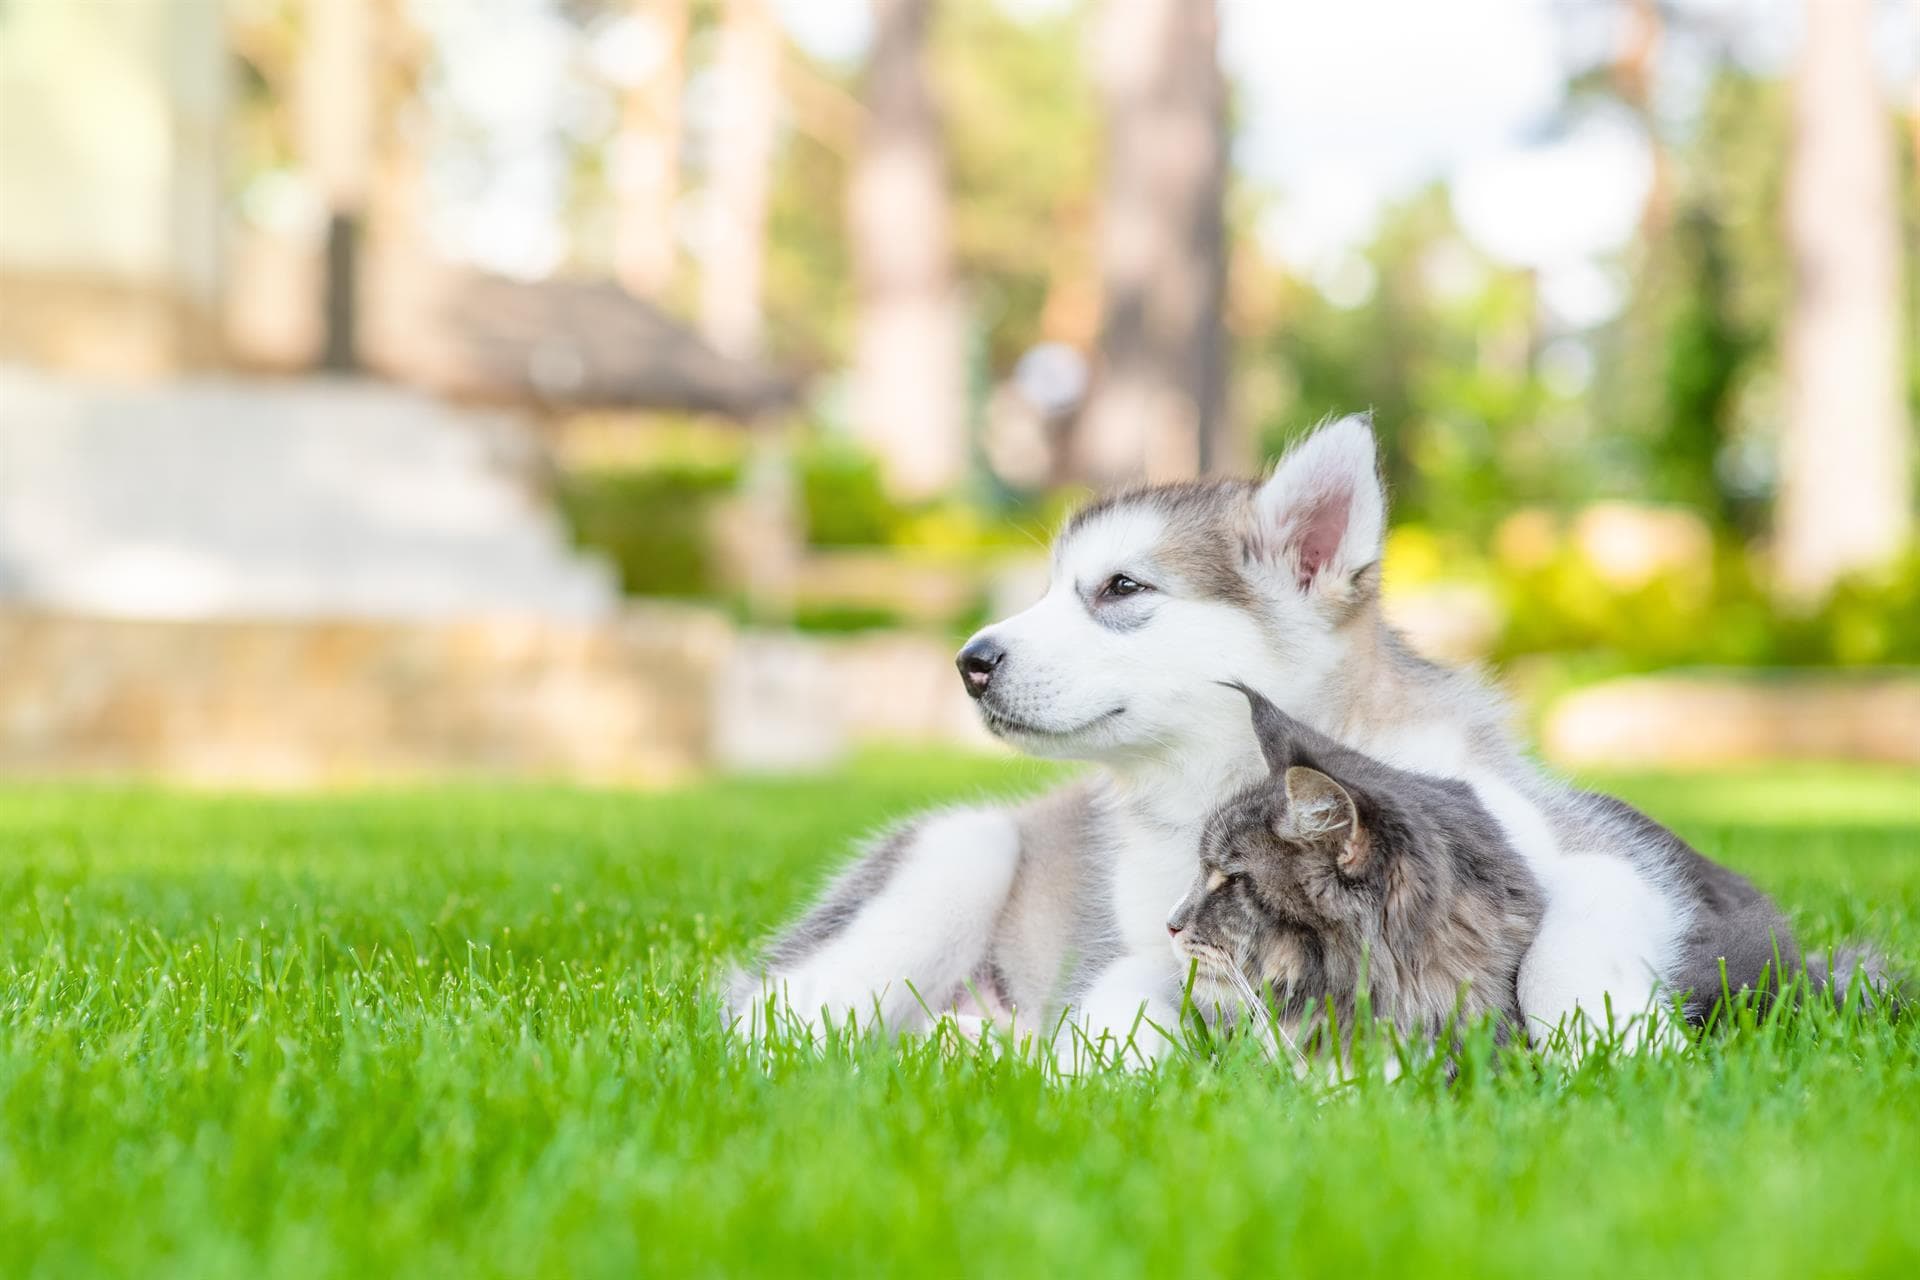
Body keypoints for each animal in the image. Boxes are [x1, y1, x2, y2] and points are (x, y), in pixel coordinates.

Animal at [729, 418, 1827, 1059]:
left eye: (1120, 586)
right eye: (1047, 589)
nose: (970, 660)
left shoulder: (1599, 855)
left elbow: (1573, 935)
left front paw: (1617, 1049)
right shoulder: (1160, 935)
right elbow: (1130, 984)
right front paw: (1091, 1068)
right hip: (960, 855)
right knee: (763, 1015)